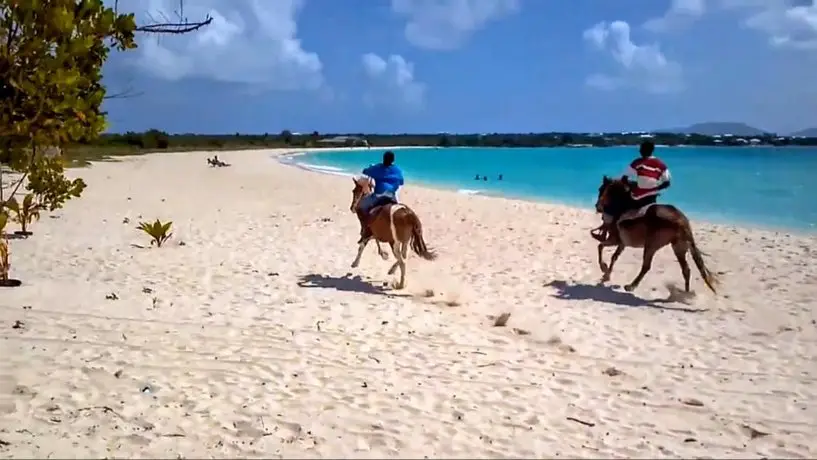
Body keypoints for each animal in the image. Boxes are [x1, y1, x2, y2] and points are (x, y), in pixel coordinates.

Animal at [588, 176, 716, 294]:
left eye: (601, 189)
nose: (597, 207)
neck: (622, 208)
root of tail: (680, 220)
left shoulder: (615, 240)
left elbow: (600, 246)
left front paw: (604, 269)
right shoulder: (622, 244)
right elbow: (613, 256)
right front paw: (606, 274)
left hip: (651, 246)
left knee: (646, 266)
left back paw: (631, 286)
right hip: (678, 248)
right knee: (686, 270)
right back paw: (685, 293)